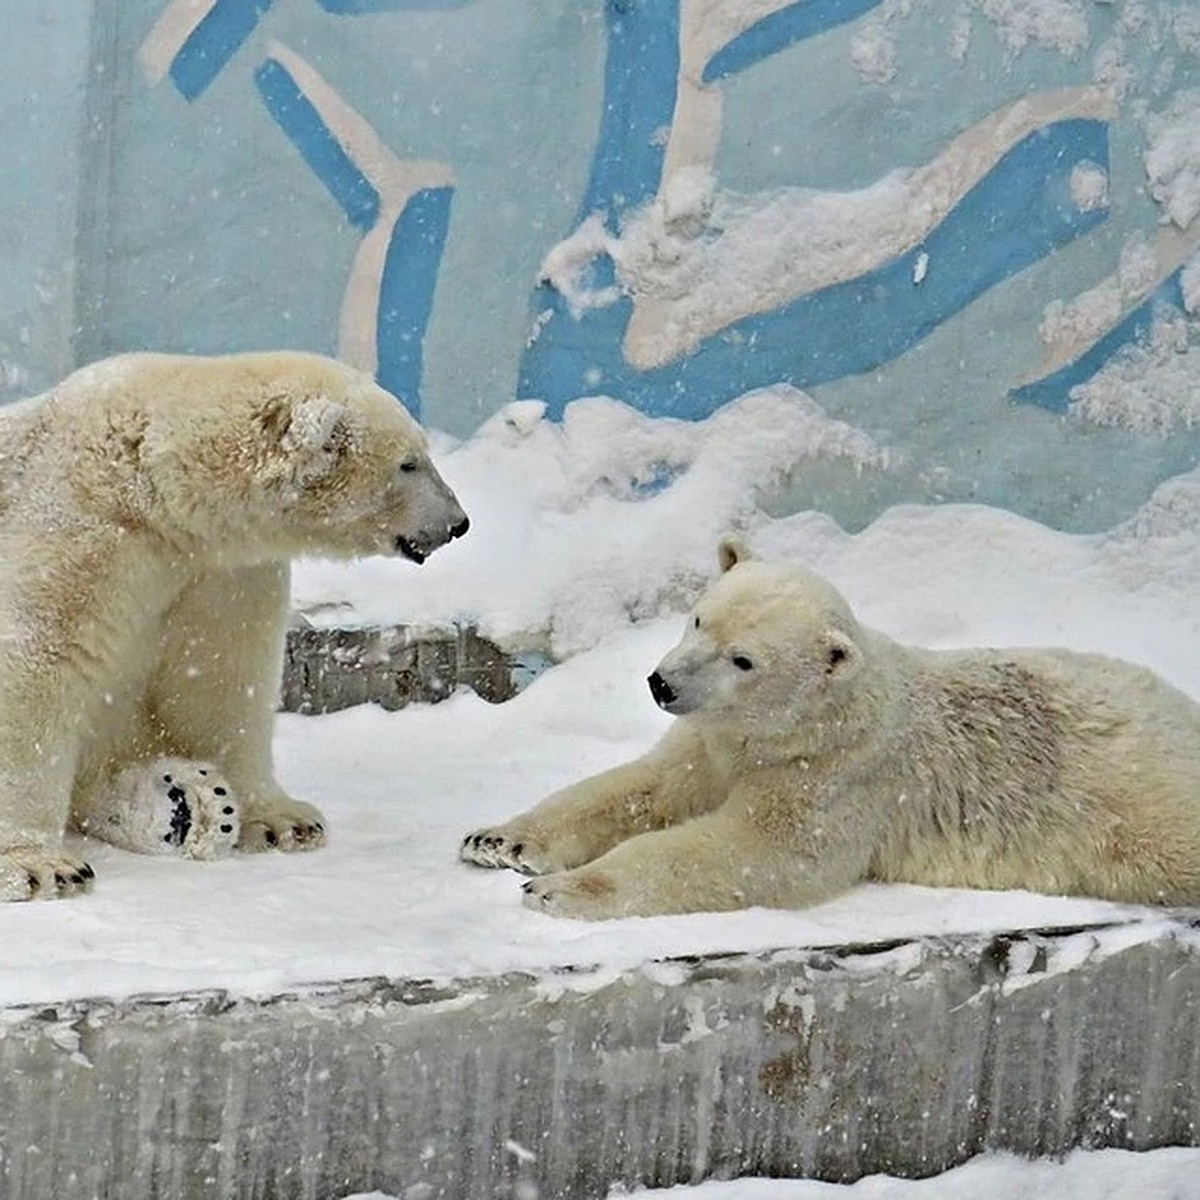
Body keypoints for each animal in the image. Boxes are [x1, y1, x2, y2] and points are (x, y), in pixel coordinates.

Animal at [0, 348, 468, 902]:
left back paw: (187, 800)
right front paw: (40, 866)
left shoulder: (221, 570)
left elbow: (220, 678)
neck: (153, 488)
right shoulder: (80, 527)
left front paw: (283, 820)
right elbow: (37, 663)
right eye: (408, 462)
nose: (459, 523)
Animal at [460, 537, 1200, 916]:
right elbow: (645, 785)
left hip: (1134, 803)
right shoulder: (711, 738)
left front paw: (560, 890)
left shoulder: (836, 779)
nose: (661, 683)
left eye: (744, 659)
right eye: (699, 617)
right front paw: (497, 841)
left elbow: (754, 852)